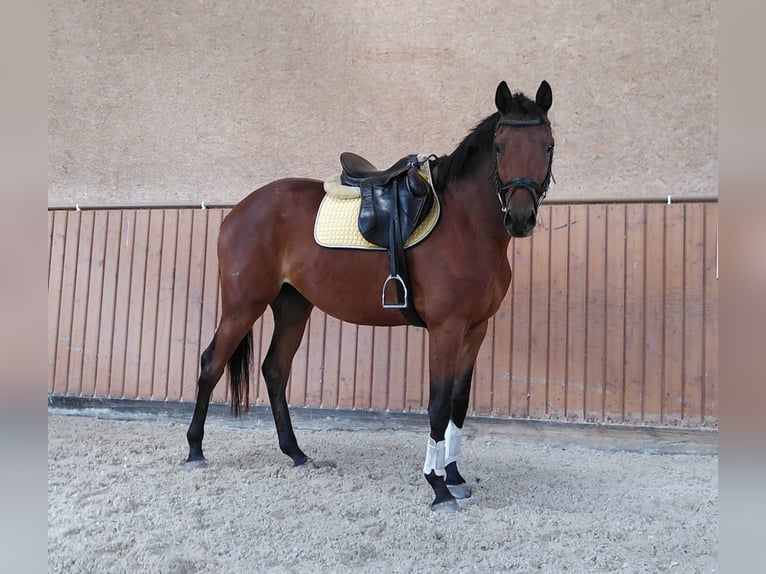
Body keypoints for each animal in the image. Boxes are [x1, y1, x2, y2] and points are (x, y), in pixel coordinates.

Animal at [186, 80, 560, 512]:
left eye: (547, 145)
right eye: (499, 146)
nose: (520, 218)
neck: (465, 224)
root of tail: (238, 210)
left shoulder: (475, 329)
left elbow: (459, 403)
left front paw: (454, 475)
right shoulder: (446, 329)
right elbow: (438, 405)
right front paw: (438, 487)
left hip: (293, 307)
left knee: (275, 370)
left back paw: (296, 453)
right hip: (243, 305)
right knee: (211, 363)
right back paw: (194, 450)